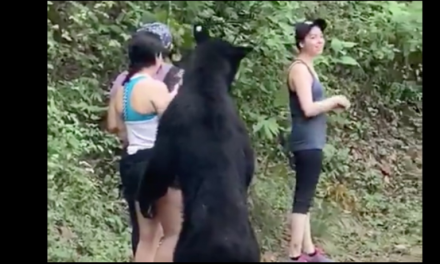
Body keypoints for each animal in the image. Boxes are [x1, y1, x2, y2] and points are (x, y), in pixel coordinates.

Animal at [138, 25, 260, 262]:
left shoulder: (171, 124)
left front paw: (145, 202)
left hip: (185, 249)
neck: (208, 85)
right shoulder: (244, 139)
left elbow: (158, 169)